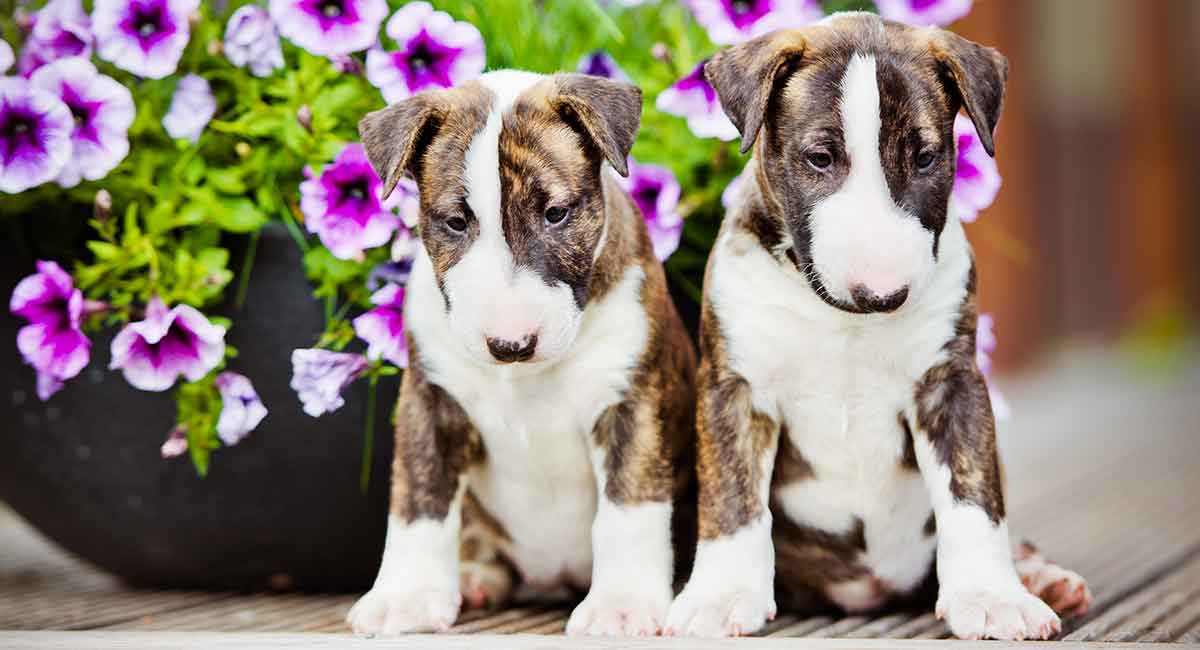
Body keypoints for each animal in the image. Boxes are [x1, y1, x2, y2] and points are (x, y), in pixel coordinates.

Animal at [348, 70, 700, 638]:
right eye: (455, 222)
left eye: (556, 214)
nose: (510, 345)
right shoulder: (430, 403)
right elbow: (419, 500)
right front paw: (405, 598)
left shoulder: (633, 403)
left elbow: (628, 508)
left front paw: (621, 607)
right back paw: (475, 577)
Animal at [672, 14, 1094, 642]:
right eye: (820, 158)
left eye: (925, 157)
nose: (882, 295)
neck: (842, 321)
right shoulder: (735, 389)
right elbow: (731, 496)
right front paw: (720, 597)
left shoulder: (951, 386)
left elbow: (974, 499)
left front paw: (993, 598)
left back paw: (1042, 578)